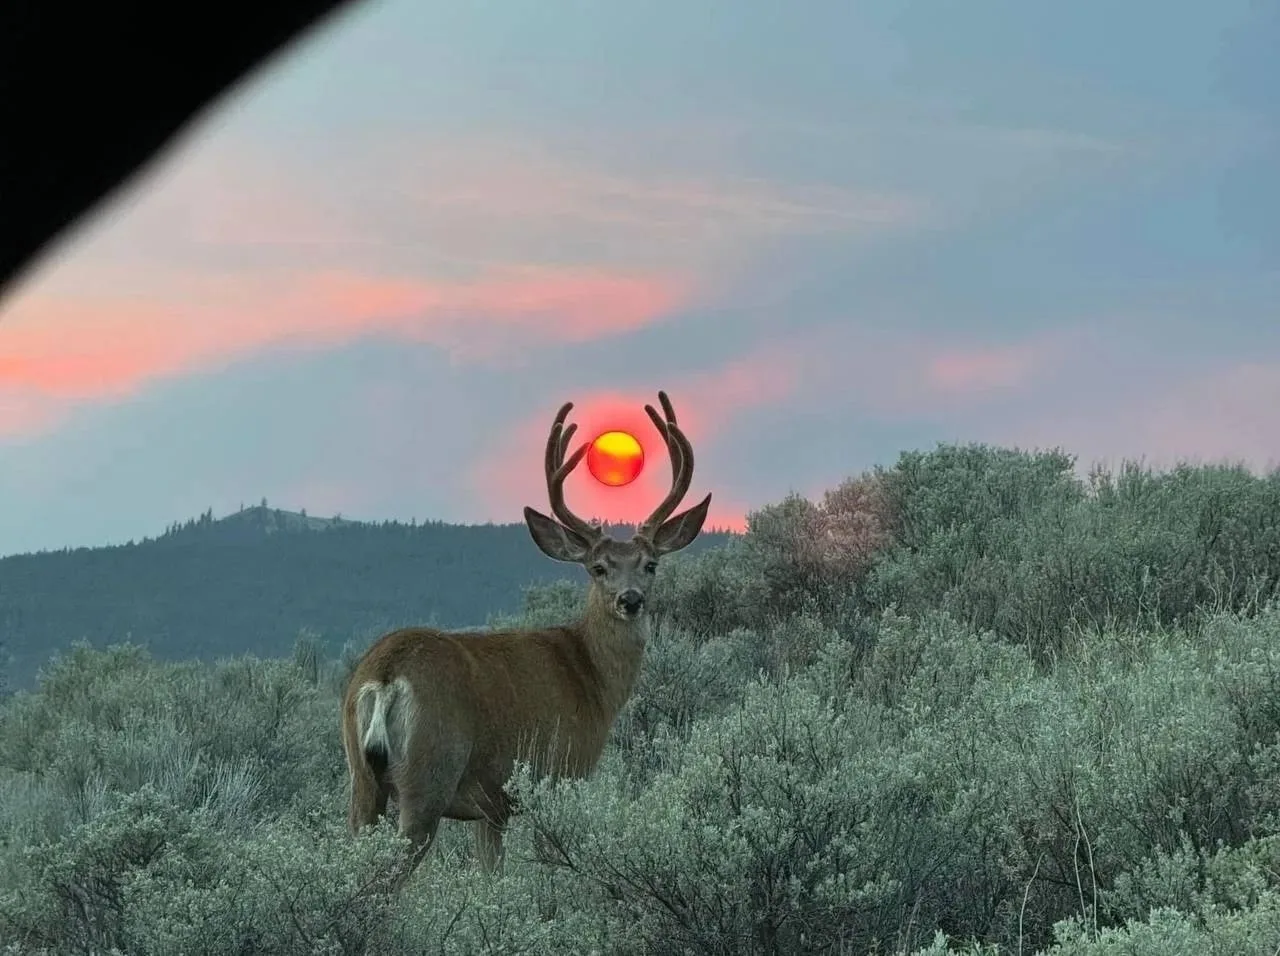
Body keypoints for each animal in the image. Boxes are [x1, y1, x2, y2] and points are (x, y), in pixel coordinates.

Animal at [340, 390, 711, 874]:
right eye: (598, 568)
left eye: (650, 564)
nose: (630, 600)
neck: (590, 676)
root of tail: (384, 676)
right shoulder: (558, 774)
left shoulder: (489, 806)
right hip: (429, 771)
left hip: (362, 779)